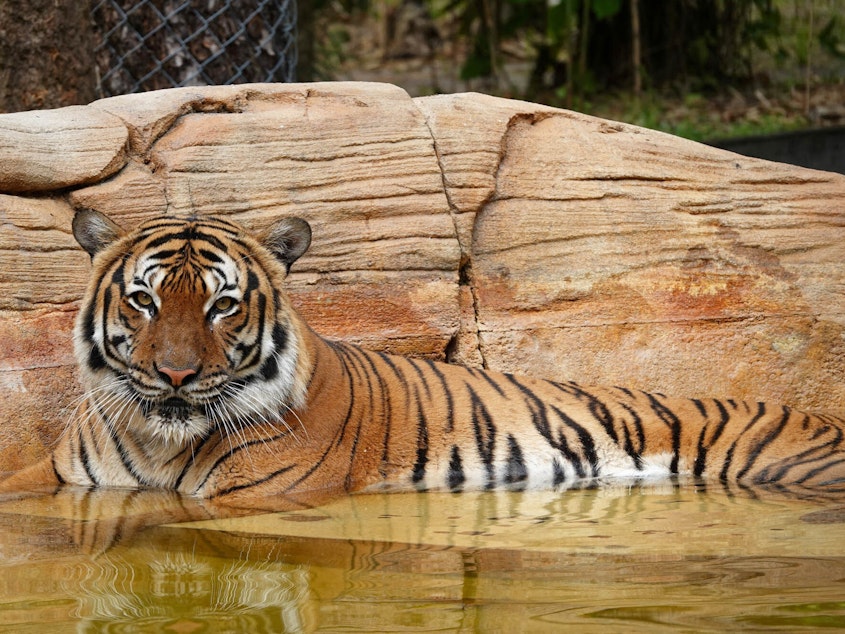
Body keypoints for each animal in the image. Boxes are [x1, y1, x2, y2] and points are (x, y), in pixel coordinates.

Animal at [1, 207, 844, 504]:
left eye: (222, 304)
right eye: (144, 301)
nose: (175, 374)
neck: (159, 439)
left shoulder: (258, 496)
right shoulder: (59, 476)